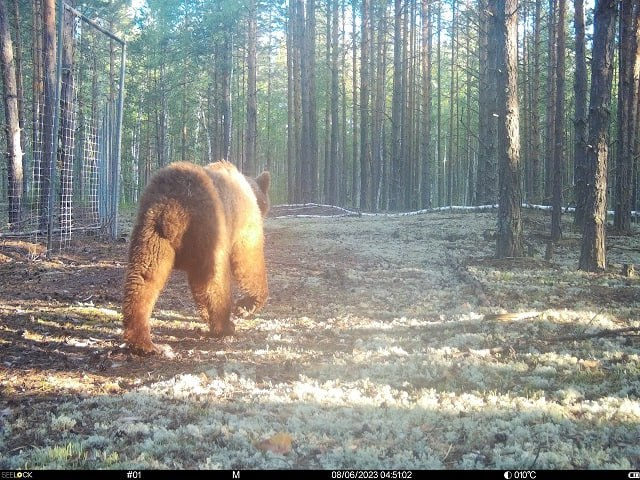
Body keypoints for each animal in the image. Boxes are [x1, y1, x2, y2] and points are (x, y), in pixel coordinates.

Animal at [122, 160, 270, 352]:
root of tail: (171, 207)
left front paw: (207, 313)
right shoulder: (244, 222)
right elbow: (249, 259)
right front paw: (246, 305)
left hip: (150, 234)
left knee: (143, 278)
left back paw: (143, 342)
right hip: (208, 227)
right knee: (215, 278)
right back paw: (225, 326)